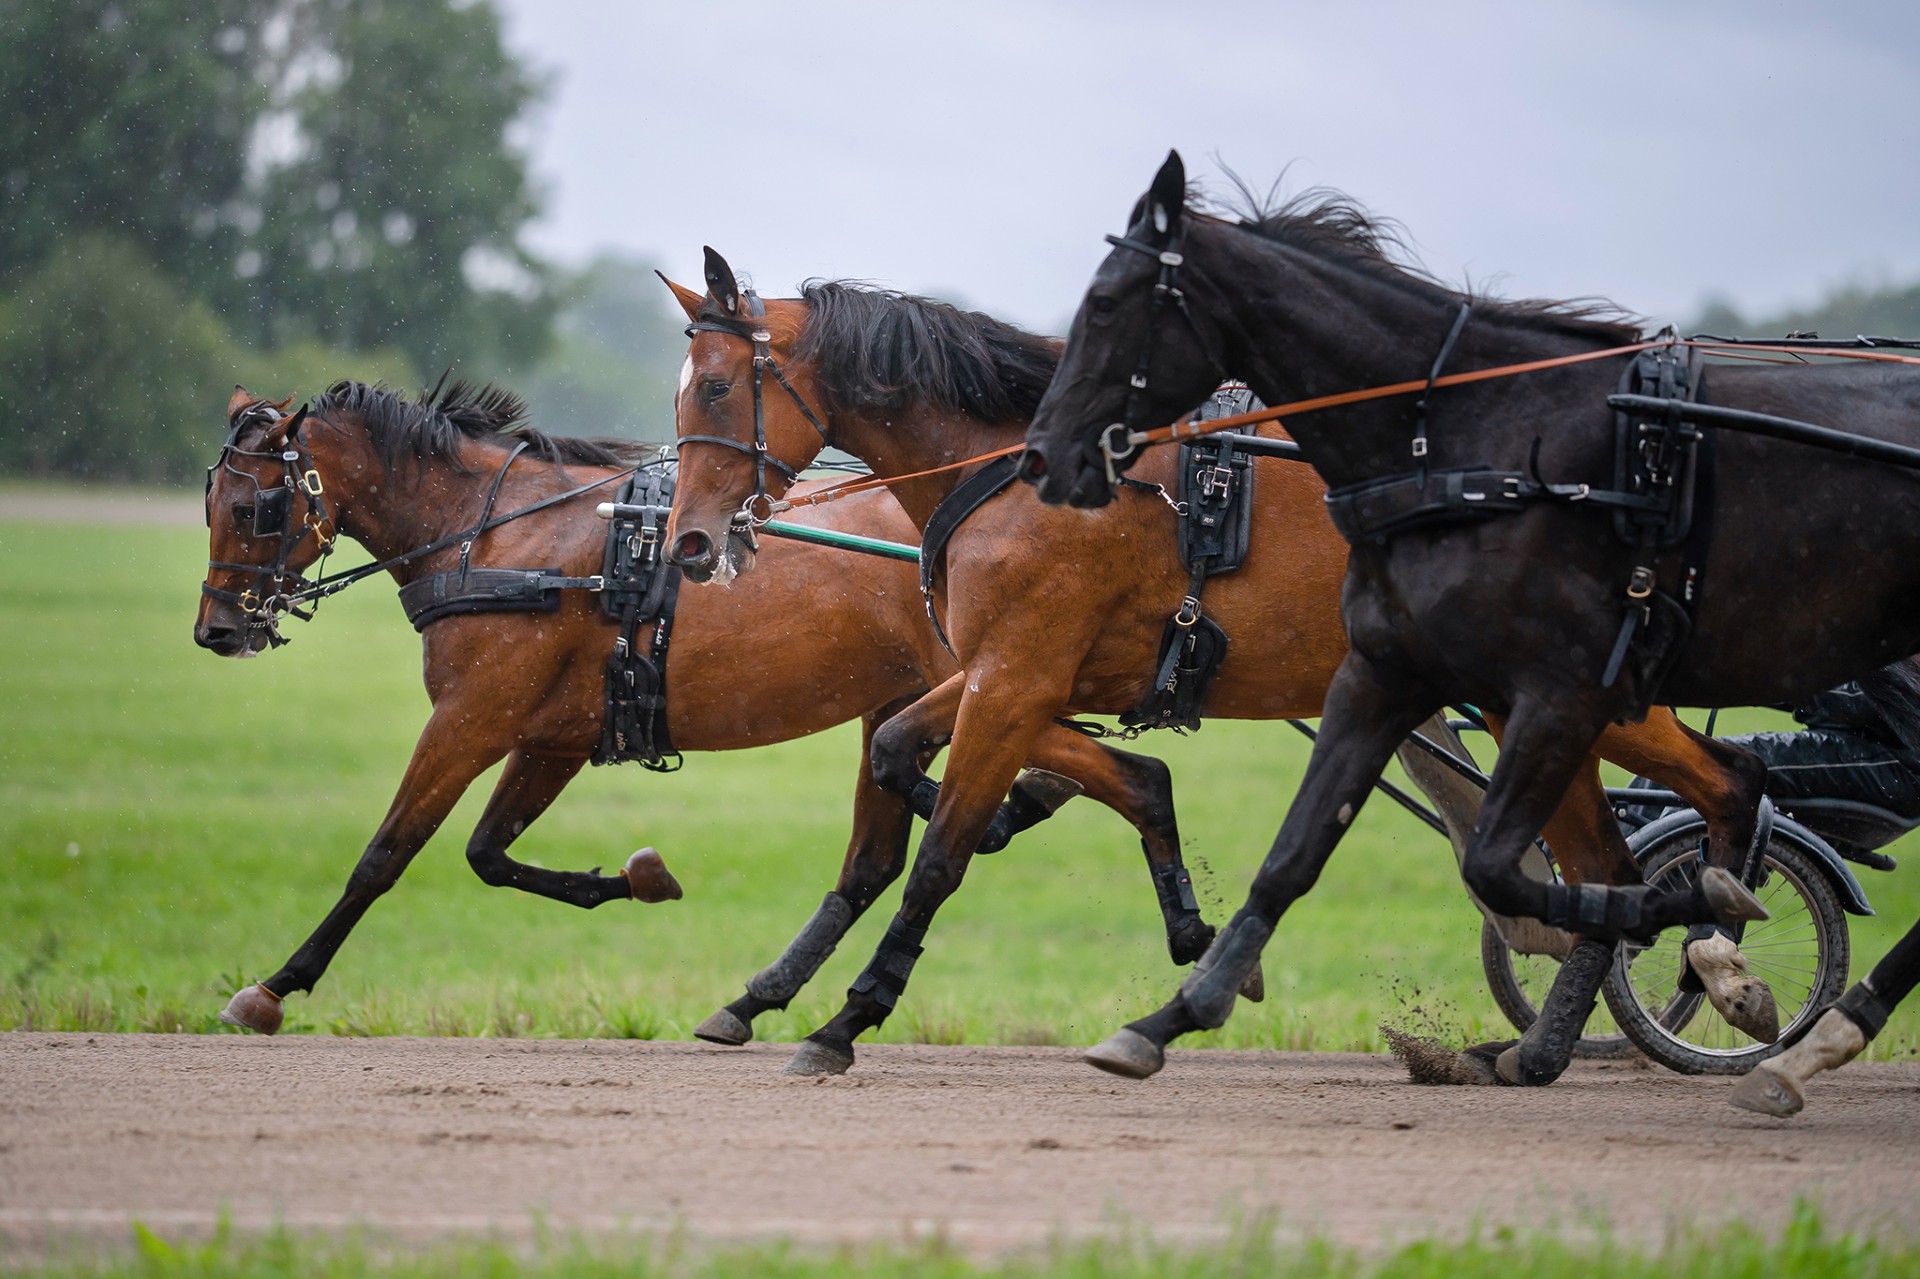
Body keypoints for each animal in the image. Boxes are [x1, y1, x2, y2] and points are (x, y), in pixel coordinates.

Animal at [198, 378, 1228, 1037]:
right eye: (211, 500)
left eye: (258, 509)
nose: (217, 628)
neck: (503, 539)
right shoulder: (553, 735)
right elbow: (489, 854)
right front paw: (638, 876)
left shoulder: (472, 717)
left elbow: (385, 855)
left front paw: (277, 984)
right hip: (918, 695)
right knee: (882, 856)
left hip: (995, 686)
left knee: (1120, 774)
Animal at [656, 257, 1766, 1075]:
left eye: (715, 385)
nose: (691, 543)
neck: (1021, 465)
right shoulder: (1008, 673)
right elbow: (919, 751)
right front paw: (1171, 910)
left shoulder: (1015, 675)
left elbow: (941, 856)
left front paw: (848, 1017)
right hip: (1526, 705)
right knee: (1621, 850)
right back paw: (1577, 1024)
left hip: (1580, 695)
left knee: (1725, 785)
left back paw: (1721, 950)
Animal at [1021, 151, 1920, 1083]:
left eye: (1105, 302)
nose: (1043, 455)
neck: (1472, 452)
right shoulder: (1383, 670)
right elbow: (1283, 853)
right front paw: (1172, 1010)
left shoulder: (1557, 692)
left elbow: (1499, 864)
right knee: (1707, 800)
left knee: (1707, 800)